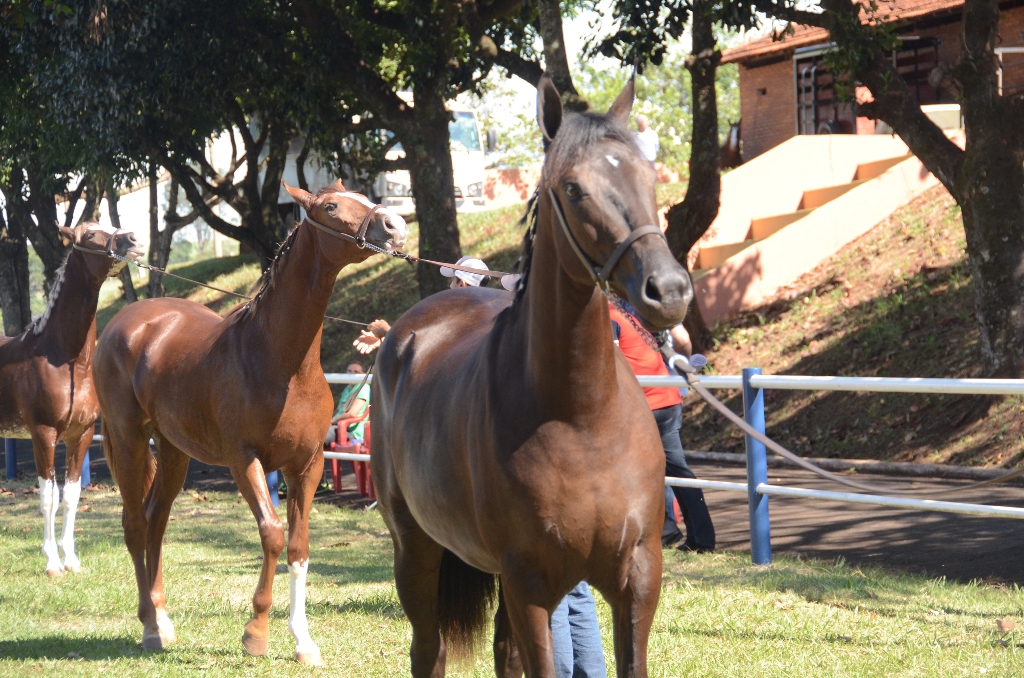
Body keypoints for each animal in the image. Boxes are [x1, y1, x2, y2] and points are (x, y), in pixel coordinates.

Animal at [0, 220, 142, 577]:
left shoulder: (81, 435)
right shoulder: (43, 433)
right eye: (90, 235)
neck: (64, 359)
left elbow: (72, 495)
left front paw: (72, 560)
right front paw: (52, 562)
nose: (134, 238)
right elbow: (48, 497)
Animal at [91, 182, 403, 667]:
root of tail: (125, 322)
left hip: (174, 449)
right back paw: (149, 627)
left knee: (156, 519)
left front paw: (303, 642)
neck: (281, 361)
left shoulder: (306, 466)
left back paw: (163, 619)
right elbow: (272, 535)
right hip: (128, 440)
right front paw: (256, 633)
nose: (394, 225)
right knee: (135, 524)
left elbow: (298, 546)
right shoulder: (245, 461)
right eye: (332, 206)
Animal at [372, 75, 692, 678]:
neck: (582, 417)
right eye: (573, 188)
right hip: (416, 552)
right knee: (429, 649)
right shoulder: (531, 584)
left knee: (503, 653)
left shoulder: (637, 579)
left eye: (649, 176)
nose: (669, 291)